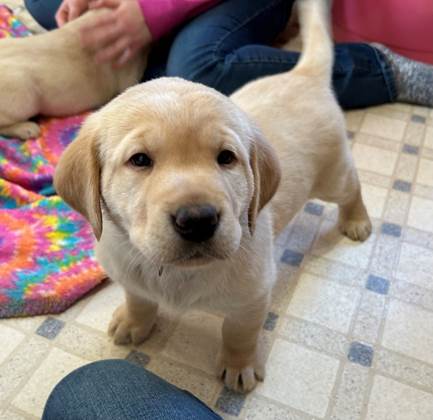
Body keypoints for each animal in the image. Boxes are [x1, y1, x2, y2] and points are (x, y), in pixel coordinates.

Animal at [54, 0, 372, 394]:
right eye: (139, 160)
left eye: (226, 158)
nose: (198, 220)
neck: (174, 273)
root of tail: (303, 75)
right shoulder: (128, 272)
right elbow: (139, 297)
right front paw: (133, 321)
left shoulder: (253, 294)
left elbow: (239, 331)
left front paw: (239, 365)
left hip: (333, 176)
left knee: (353, 185)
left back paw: (357, 220)